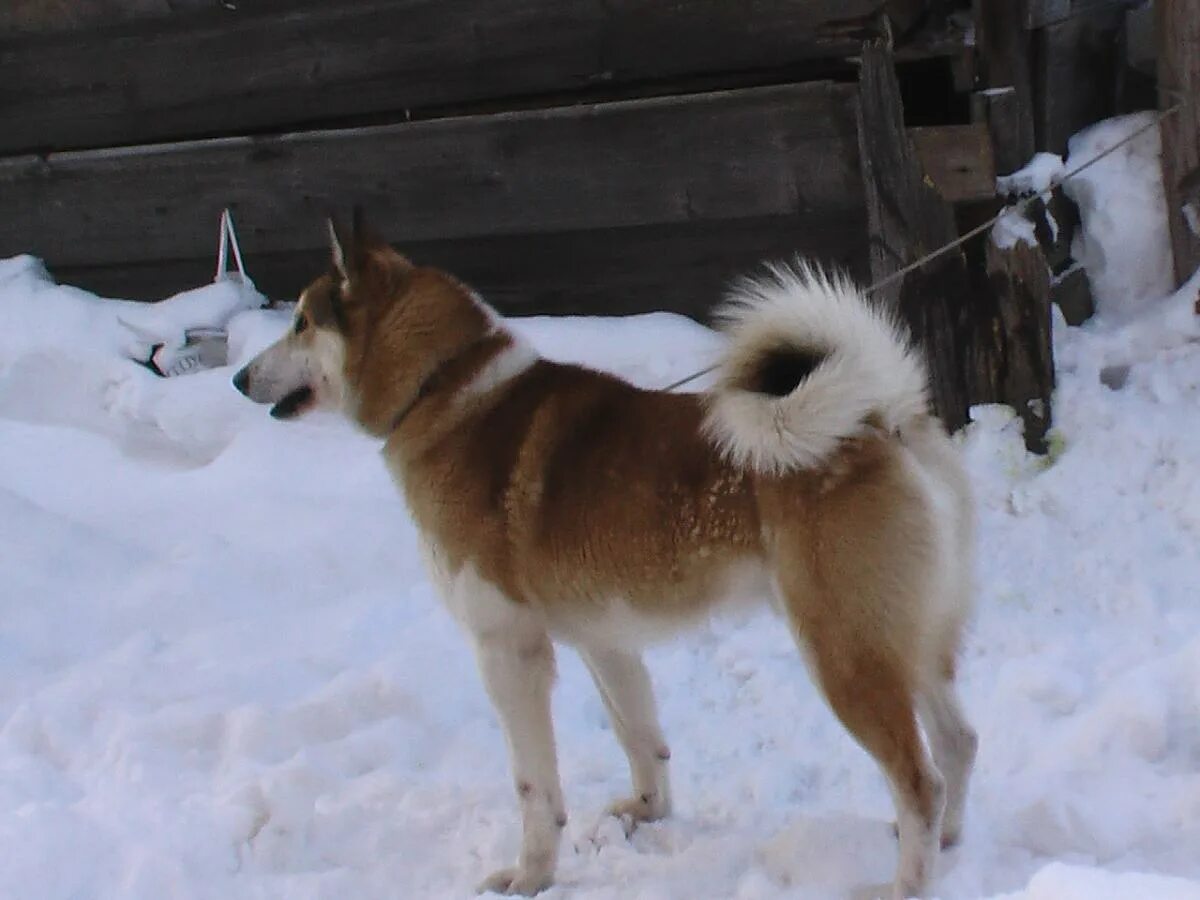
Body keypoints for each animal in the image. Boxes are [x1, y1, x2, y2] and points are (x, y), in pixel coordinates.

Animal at [231, 220, 974, 900]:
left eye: (300, 323)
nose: (238, 378)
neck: (442, 388)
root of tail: (880, 422)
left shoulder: (509, 653)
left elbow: (535, 788)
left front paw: (530, 876)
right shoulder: (604, 640)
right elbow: (639, 736)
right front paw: (647, 815)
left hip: (843, 655)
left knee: (920, 779)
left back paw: (904, 884)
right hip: (910, 645)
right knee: (957, 744)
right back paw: (944, 844)